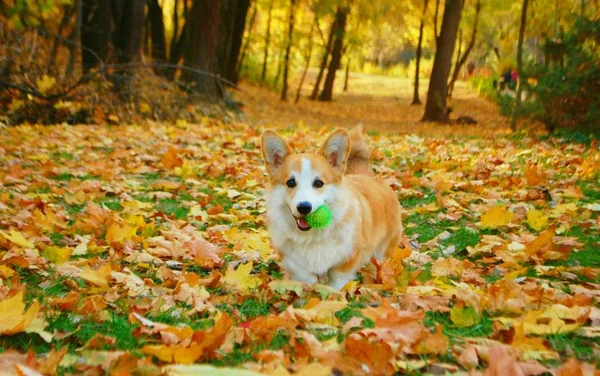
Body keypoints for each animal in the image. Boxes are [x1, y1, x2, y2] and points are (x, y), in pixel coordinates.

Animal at [258, 127, 404, 290]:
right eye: (290, 183)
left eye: (319, 183)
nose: (304, 207)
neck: (312, 237)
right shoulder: (289, 256)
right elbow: (304, 274)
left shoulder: (349, 258)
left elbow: (337, 280)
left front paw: (332, 293)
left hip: (383, 250)